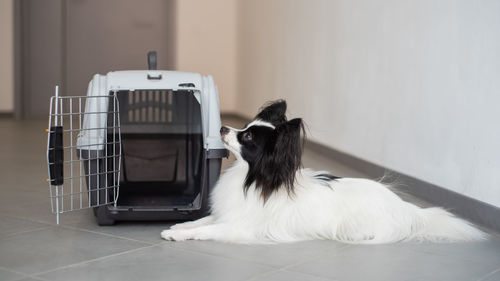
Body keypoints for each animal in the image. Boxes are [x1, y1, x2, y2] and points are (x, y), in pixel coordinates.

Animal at [161, 99, 484, 242]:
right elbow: (202, 220)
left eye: (248, 137)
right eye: (245, 127)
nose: (223, 128)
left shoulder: (240, 226)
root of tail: (407, 209)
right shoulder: (228, 213)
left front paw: (178, 235)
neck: (252, 178)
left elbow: (209, 229)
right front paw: (179, 227)